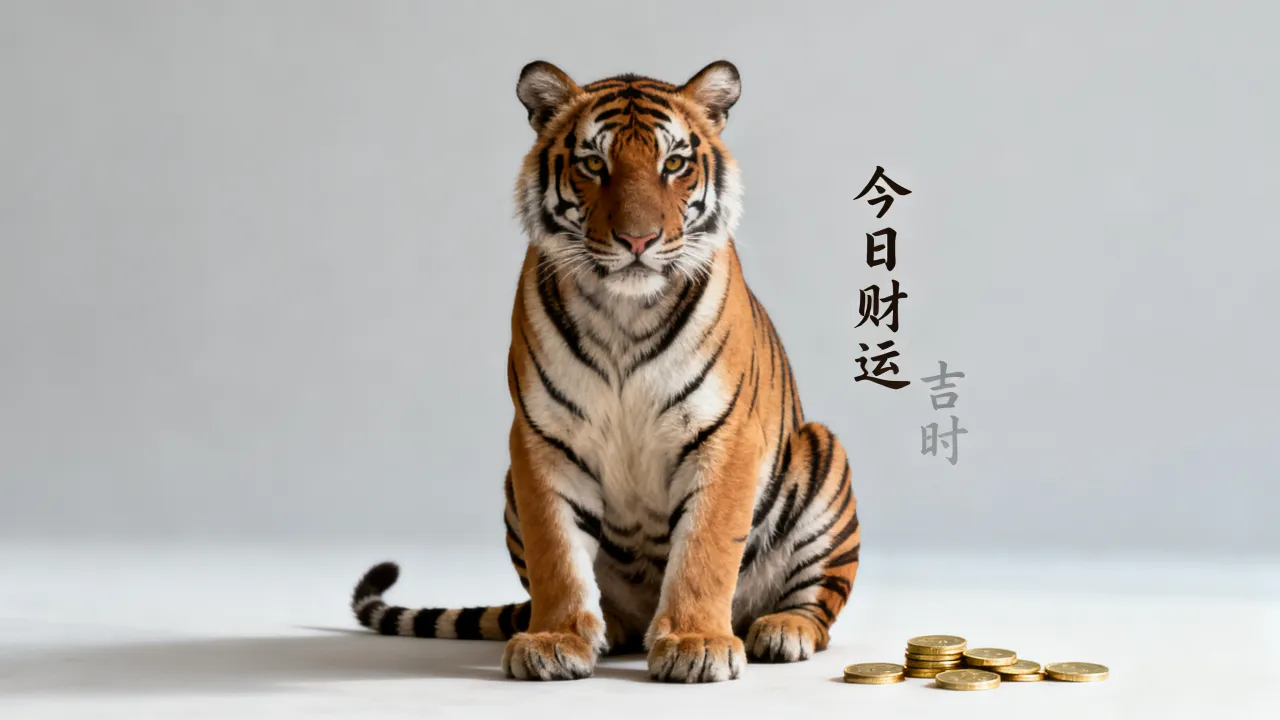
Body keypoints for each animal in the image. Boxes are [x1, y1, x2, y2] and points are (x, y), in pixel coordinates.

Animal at [349, 60, 860, 684]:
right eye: (595, 164)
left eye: (674, 164)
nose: (638, 240)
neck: (625, 314)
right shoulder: (541, 439)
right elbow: (556, 553)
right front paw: (555, 639)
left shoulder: (724, 435)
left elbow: (706, 548)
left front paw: (696, 642)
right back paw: (607, 630)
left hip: (824, 457)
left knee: (815, 603)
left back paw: (781, 630)